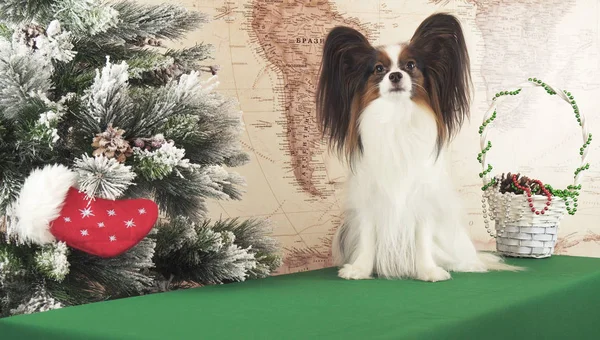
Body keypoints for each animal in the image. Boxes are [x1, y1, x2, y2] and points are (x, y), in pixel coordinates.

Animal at [316, 12, 516, 282]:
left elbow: (422, 239)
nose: (395, 76)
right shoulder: (369, 200)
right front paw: (360, 269)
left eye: (410, 65)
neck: (397, 115)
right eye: (379, 69)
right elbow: (368, 238)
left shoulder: (423, 200)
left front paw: (428, 271)